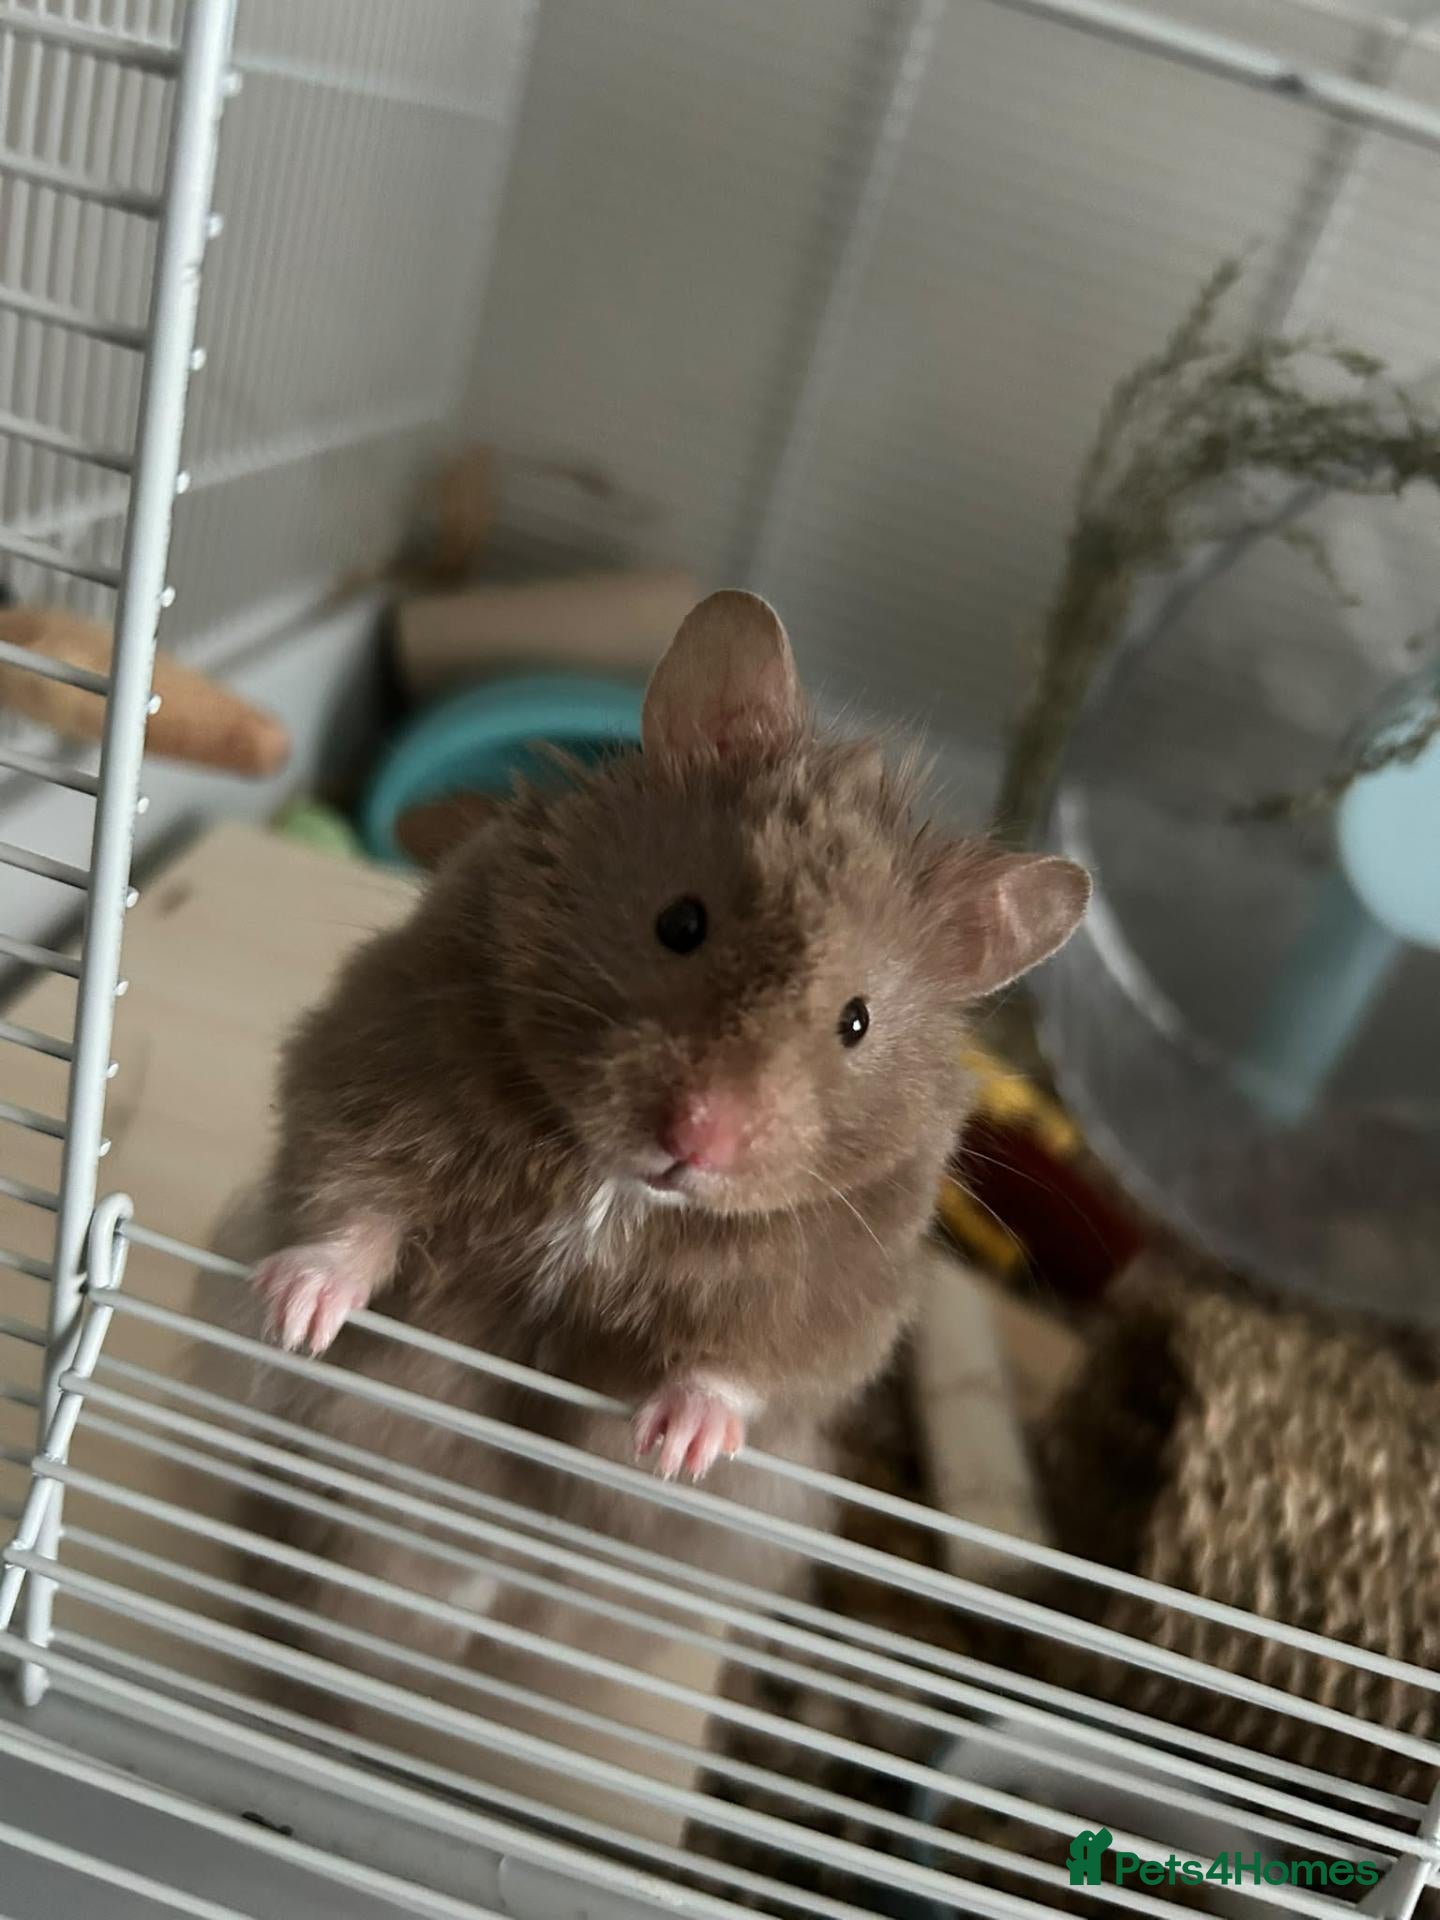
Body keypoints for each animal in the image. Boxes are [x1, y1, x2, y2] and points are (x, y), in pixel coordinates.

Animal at [228, 589, 1089, 1717]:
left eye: (856, 1022)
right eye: (681, 922)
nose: (696, 1138)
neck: (617, 1193)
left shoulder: (841, 1285)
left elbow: (749, 1363)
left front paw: (672, 1449)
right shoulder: (379, 1071)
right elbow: (354, 1204)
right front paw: (296, 1313)